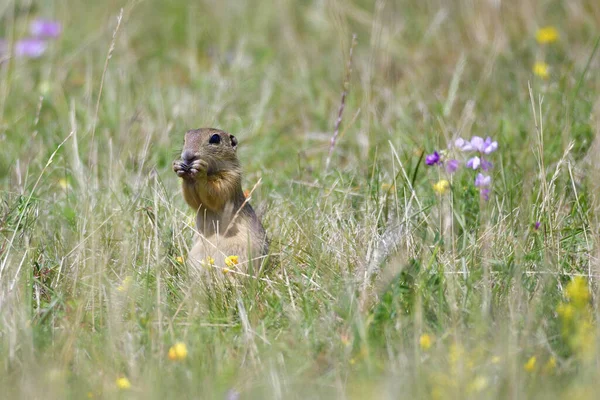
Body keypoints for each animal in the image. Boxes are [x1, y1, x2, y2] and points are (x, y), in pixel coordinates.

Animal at [172, 127, 268, 272]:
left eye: (215, 138)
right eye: (184, 139)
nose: (188, 156)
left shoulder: (230, 178)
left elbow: (216, 192)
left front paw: (200, 171)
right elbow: (193, 200)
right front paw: (178, 167)